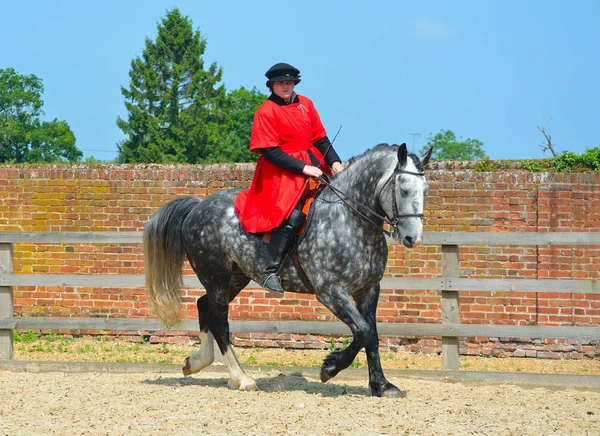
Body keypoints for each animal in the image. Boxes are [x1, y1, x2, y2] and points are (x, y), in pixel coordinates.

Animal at [143, 143, 432, 398]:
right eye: (404, 189)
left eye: (425, 189)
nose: (413, 239)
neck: (349, 221)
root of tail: (197, 207)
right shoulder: (330, 292)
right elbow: (363, 331)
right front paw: (329, 367)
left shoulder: (369, 290)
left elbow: (372, 335)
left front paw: (382, 385)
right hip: (217, 277)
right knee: (219, 321)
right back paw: (241, 378)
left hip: (234, 278)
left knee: (204, 307)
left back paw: (197, 362)